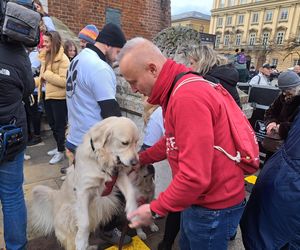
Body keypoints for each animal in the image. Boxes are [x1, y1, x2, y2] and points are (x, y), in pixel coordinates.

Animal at [31, 117, 141, 250]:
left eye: (136, 142)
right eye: (124, 143)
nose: (135, 162)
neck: (100, 161)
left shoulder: (118, 176)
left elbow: (130, 192)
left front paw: (133, 211)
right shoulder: (83, 192)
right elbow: (84, 223)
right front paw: (81, 240)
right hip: (68, 217)